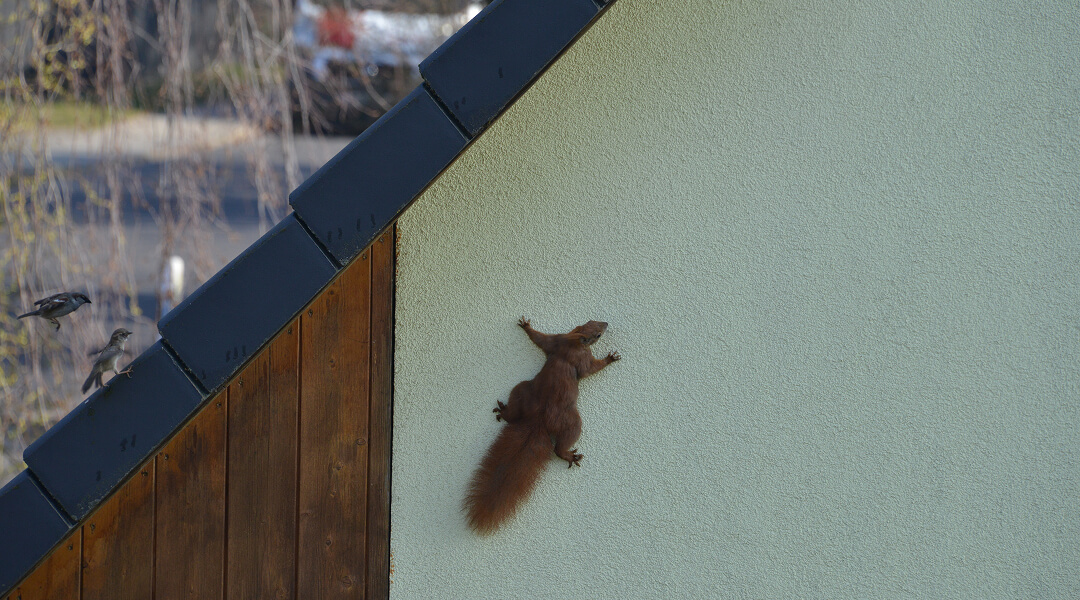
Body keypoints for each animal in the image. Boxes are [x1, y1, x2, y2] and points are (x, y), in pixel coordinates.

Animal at [464, 317, 620, 534]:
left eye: (591, 320)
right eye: (596, 334)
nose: (605, 323)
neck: (573, 341)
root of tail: (538, 420)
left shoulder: (556, 340)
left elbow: (540, 339)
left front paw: (527, 326)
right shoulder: (581, 357)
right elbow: (590, 369)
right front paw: (610, 358)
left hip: (520, 391)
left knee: (514, 413)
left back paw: (504, 412)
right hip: (571, 421)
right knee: (559, 446)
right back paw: (569, 455)